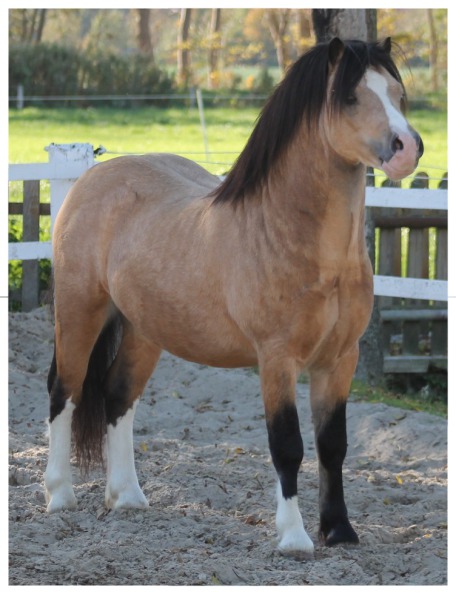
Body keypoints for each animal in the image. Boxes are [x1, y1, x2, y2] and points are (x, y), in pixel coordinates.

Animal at [44, 37, 423, 556]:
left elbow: (333, 445)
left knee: (118, 396)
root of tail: (92, 178)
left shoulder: (340, 359)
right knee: (65, 391)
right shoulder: (277, 359)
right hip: (79, 310)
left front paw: (340, 531)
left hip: (144, 329)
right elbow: (287, 445)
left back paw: (128, 498)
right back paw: (59, 495)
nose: (407, 149)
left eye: (398, 94)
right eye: (350, 97)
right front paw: (294, 538)